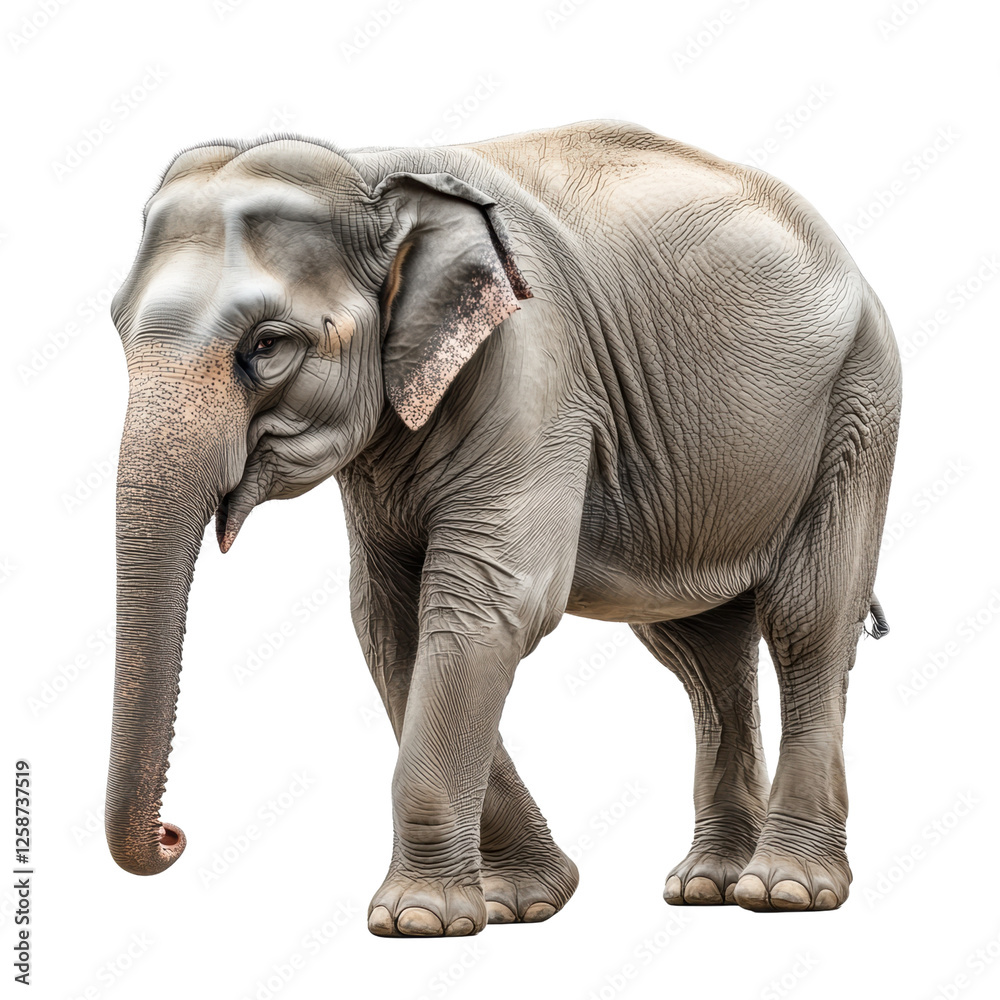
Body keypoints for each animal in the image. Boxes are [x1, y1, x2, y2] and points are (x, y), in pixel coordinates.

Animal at [105, 120, 900, 936]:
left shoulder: (537, 367)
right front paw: (520, 902)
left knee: (808, 620)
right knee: (699, 651)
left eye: (266, 345)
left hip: (859, 401)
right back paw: (707, 885)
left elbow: (486, 603)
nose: (173, 835)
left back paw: (785, 891)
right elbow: (390, 620)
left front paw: (417, 920)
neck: (372, 172)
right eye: (117, 329)